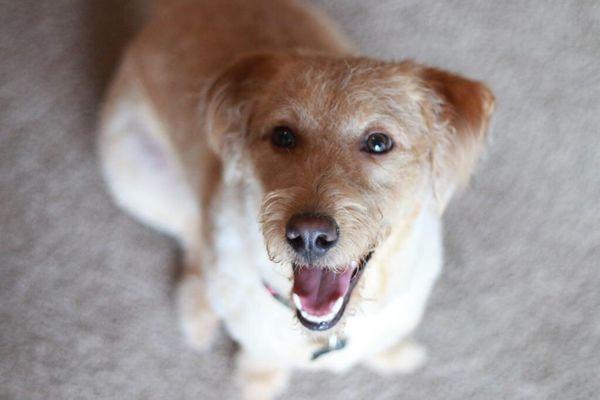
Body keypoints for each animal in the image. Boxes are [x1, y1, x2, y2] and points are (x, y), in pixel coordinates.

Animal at [97, 1, 492, 398]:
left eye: (379, 142)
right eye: (283, 136)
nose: (309, 235)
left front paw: (393, 354)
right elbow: (260, 356)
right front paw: (257, 382)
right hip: (135, 176)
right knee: (191, 236)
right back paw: (198, 311)